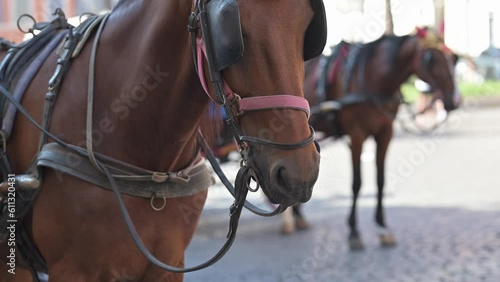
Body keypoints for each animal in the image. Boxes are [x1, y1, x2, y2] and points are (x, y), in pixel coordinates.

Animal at [300, 30, 460, 249]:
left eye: (453, 58)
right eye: (431, 59)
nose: (456, 100)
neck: (372, 78)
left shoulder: (385, 133)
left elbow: (381, 180)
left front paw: (382, 226)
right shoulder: (357, 135)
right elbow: (357, 183)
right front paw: (354, 230)